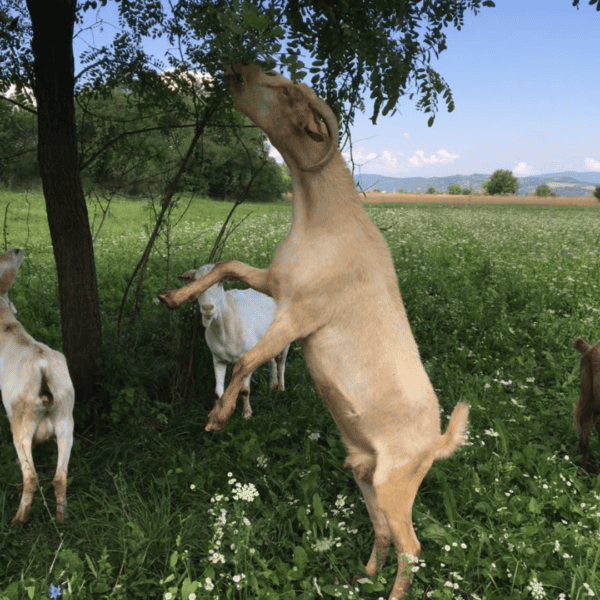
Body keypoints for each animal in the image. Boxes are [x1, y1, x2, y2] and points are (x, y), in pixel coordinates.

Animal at [0, 247, 74, 520]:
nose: (16, 250)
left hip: (21, 428)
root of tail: (42, 368)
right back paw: (62, 518)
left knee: (30, 478)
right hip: (66, 423)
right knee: (60, 478)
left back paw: (19, 519)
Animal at [178, 264, 290, 420]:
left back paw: (280, 388)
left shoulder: (246, 359)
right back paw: (272, 386)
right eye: (194, 281)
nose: (207, 308)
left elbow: (245, 390)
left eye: (220, 282)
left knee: (282, 363)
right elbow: (218, 392)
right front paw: (216, 414)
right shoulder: (218, 359)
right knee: (272, 361)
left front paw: (247, 414)